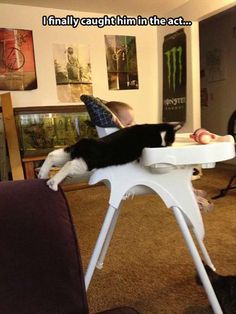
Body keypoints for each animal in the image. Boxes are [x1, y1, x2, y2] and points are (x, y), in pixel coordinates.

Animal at [39, 122, 181, 191]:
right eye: (171, 140)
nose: (169, 144)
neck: (158, 131)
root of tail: (83, 143)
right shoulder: (155, 145)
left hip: (70, 152)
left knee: (52, 154)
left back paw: (42, 174)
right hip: (86, 163)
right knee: (70, 165)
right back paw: (53, 182)